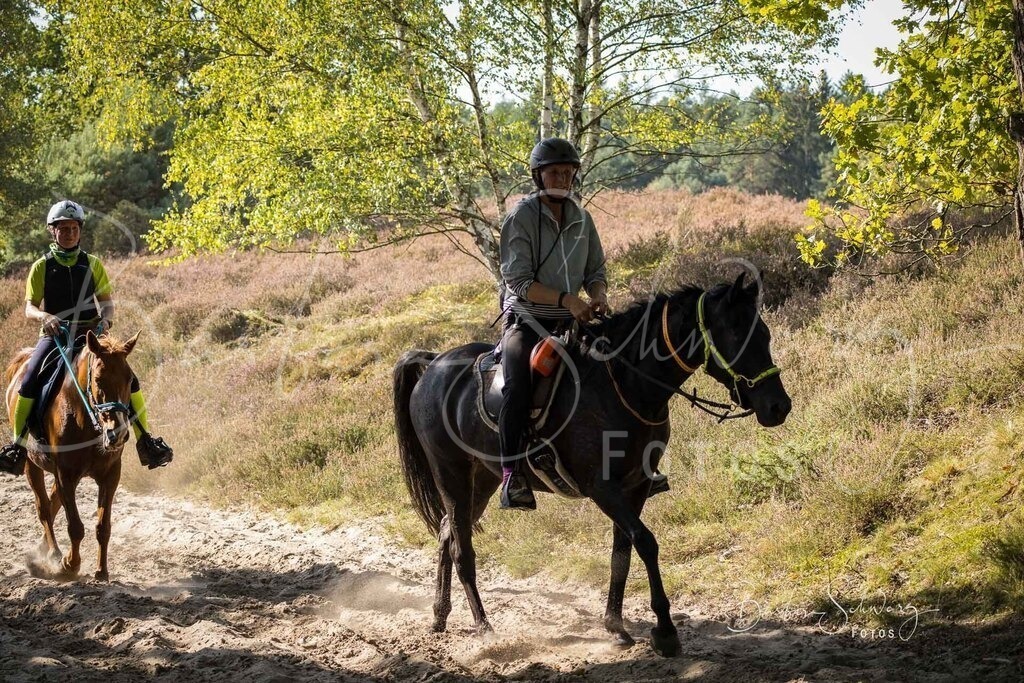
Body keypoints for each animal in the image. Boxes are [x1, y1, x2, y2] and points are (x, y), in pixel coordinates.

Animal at [4, 329, 139, 581]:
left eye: (130, 380)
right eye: (98, 380)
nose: (117, 433)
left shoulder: (110, 475)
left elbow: (103, 527)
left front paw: (101, 571)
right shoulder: (65, 474)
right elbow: (75, 527)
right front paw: (69, 565)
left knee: (53, 502)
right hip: (32, 464)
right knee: (44, 509)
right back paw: (53, 554)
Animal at [393, 273, 791, 656]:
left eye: (765, 334)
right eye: (737, 336)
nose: (779, 407)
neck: (625, 387)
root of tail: (434, 365)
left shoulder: (636, 485)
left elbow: (622, 551)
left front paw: (615, 625)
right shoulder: (602, 487)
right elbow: (646, 542)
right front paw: (664, 631)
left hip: (484, 480)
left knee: (447, 531)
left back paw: (440, 615)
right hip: (452, 475)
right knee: (462, 549)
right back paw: (484, 628)